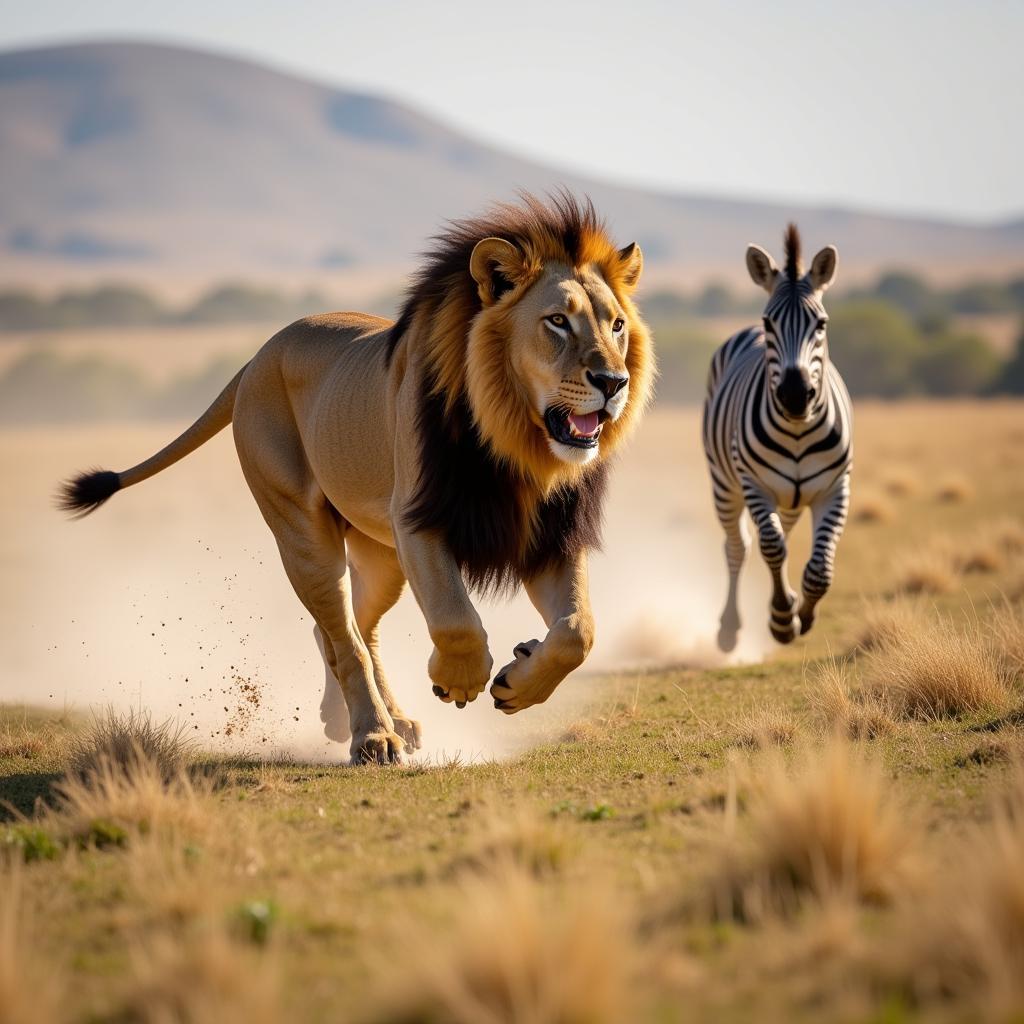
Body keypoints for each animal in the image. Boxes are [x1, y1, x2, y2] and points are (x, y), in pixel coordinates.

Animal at [59, 195, 655, 765]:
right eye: (557, 321)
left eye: (617, 326)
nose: (612, 381)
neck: (518, 447)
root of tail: (258, 356)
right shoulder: (419, 521)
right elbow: (455, 618)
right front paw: (458, 679)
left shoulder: (551, 536)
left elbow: (578, 632)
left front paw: (516, 682)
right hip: (303, 532)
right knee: (344, 636)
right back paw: (373, 736)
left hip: (381, 554)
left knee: (351, 629)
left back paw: (365, 719)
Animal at [700, 228, 851, 651]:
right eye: (770, 322)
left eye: (821, 324)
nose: (796, 395)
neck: (798, 429)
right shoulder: (754, 484)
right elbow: (771, 547)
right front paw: (783, 619)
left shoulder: (835, 488)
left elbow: (820, 569)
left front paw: (803, 613)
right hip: (724, 483)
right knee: (739, 547)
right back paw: (729, 628)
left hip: (793, 496)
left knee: (782, 531)